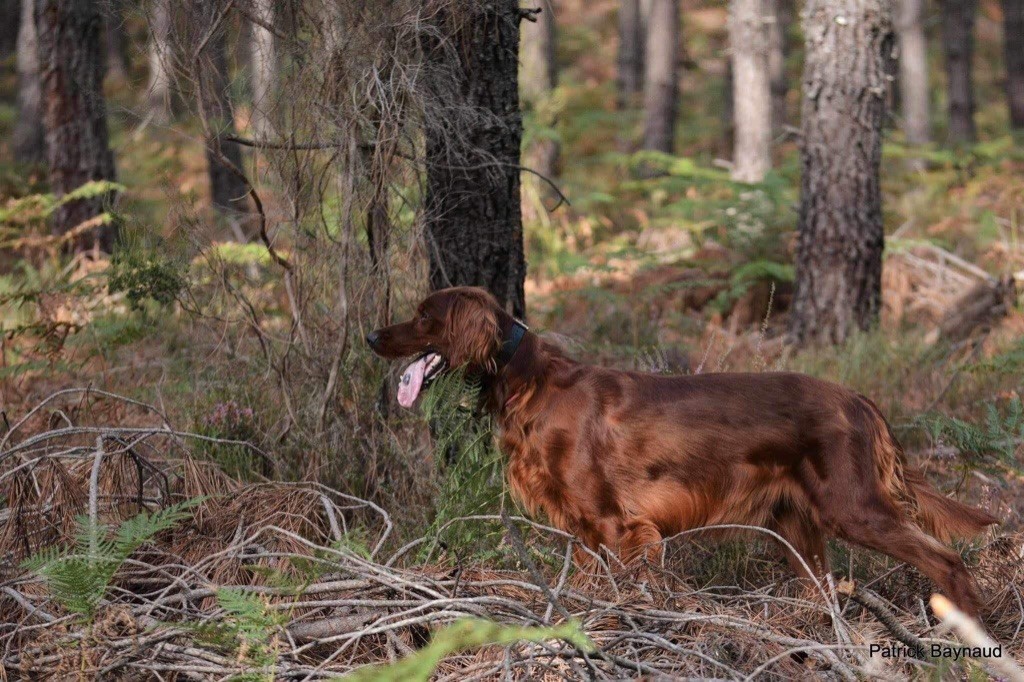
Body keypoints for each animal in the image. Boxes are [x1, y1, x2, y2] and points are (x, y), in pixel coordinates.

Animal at [364, 284, 995, 614]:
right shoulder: (586, 531)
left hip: (852, 507)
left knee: (948, 560)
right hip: (796, 527)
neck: (530, 383)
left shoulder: (618, 524)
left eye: (423, 316)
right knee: (824, 591)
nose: (370, 335)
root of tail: (858, 398)